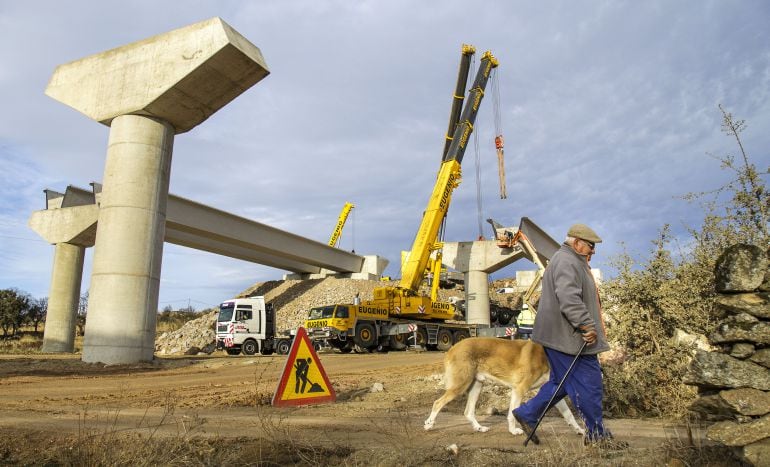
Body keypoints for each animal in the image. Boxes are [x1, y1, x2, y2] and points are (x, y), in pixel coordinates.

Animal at [420, 338, 584, 436]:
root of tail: (452, 348)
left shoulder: (551, 393)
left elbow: (569, 414)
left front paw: (580, 430)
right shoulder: (519, 389)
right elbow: (512, 413)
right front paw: (513, 431)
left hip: (476, 386)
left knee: (468, 412)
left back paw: (479, 428)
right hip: (461, 385)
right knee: (438, 403)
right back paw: (429, 424)